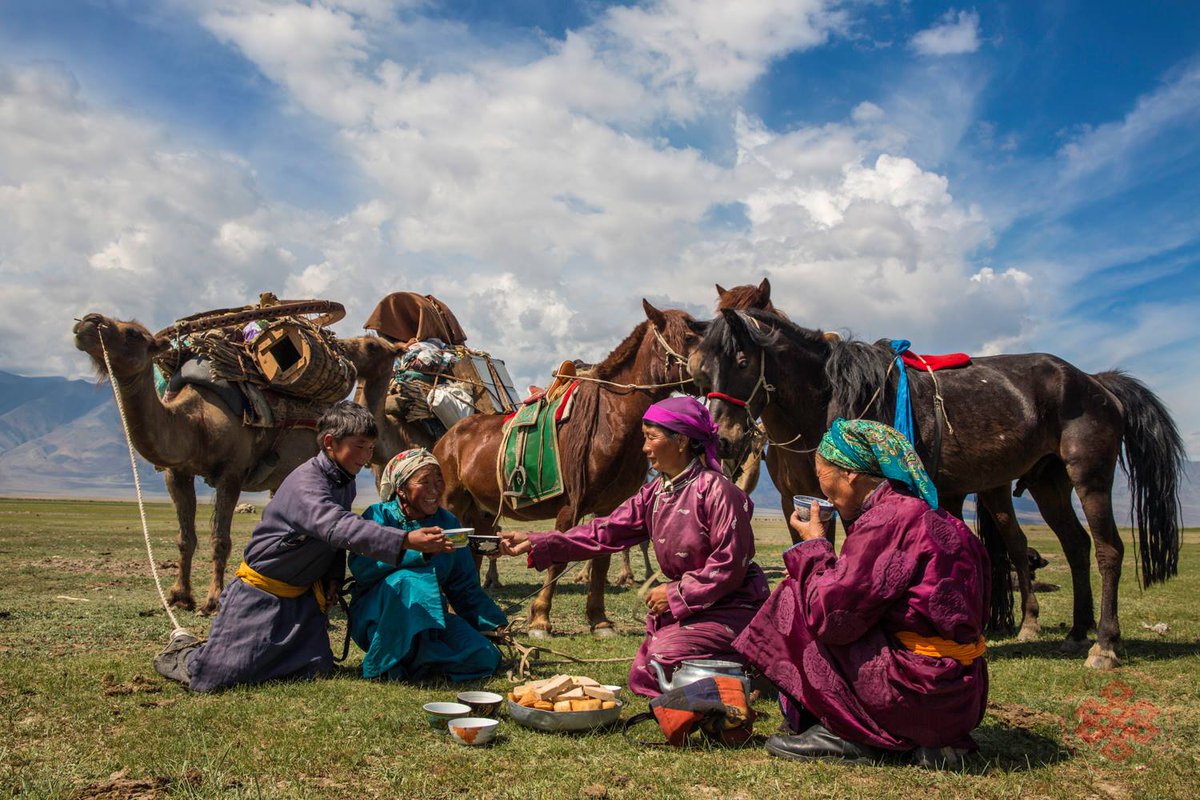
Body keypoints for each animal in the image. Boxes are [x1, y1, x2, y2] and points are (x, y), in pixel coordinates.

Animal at [76, 311, 403, 614]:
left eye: (132, 333)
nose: (87, 322)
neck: (198, 422)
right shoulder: (177, 472)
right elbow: (185, 538)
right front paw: (180, 596)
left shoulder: (231, 473)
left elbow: (220, 539)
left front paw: (213, 600)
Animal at [436, 299, 700, 638]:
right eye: (689, 337)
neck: (610, 419)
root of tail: (448, 438)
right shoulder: (570, 506)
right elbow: (557, 559)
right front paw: (540, 621)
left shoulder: (608, 507)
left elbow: (601, 560)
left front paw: (599, 620)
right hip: (451, 503)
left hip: (481, 512)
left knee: (473, 556)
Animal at [691, 307, 1185, 671]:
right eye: (701, 373)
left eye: (741, 363)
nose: (724, 439)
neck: (830, 400)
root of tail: (1096, 382)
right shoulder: (806, 501)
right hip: (1049, 484)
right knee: (1076, 545)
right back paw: (1077, 633)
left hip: (1089, 476)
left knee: (1108, 550)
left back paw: (1103, 645)